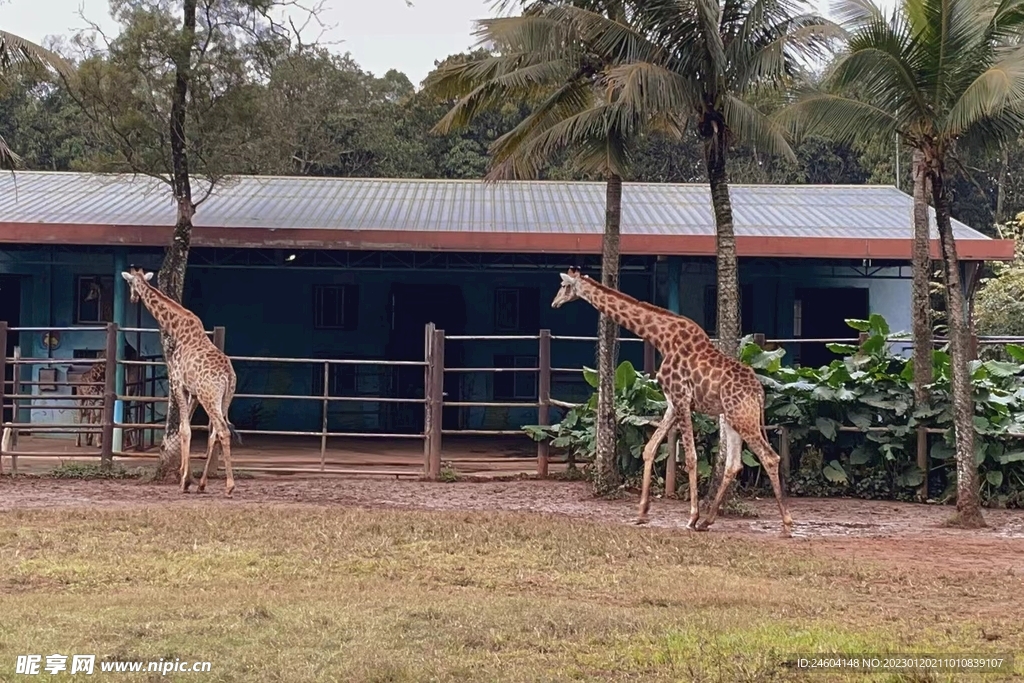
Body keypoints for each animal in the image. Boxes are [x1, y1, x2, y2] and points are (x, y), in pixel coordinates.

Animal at [119, 266, 239, 497]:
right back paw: (203, 484)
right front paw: (189, 478)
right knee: (215, 433)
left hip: (210, 397)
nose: (132, 298)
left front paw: (184, 480)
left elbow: (184, 429)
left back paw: (230, 485)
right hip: (225, 398)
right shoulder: (193, 392)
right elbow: (186, 427)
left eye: (129, 283)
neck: (176, 327)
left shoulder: (177, 384)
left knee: (222, 430)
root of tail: (229, 375)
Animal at [552, 266, 790, 540]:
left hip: (743, 417)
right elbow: (649, 449)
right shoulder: (671, 403)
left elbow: (691, 458)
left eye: (563, 286)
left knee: (769, 457)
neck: (661, 338)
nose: (555, 302)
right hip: (731, 418)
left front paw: (690, 517)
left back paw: (786, 524)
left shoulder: (681, 399)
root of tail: (760, 392)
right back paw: (708, 521)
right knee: (734, 464)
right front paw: (642, 513)